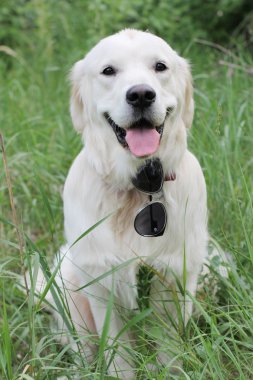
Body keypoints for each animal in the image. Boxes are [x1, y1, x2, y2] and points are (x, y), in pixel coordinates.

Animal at [39, 29, 208, 378]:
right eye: (108, 71)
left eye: (160, 66)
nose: (141, 95)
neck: (138, 188)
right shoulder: (103, 283)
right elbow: (118, 356)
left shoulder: (173, 280)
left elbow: (169, 354)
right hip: (71, 288)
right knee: (82, 351)